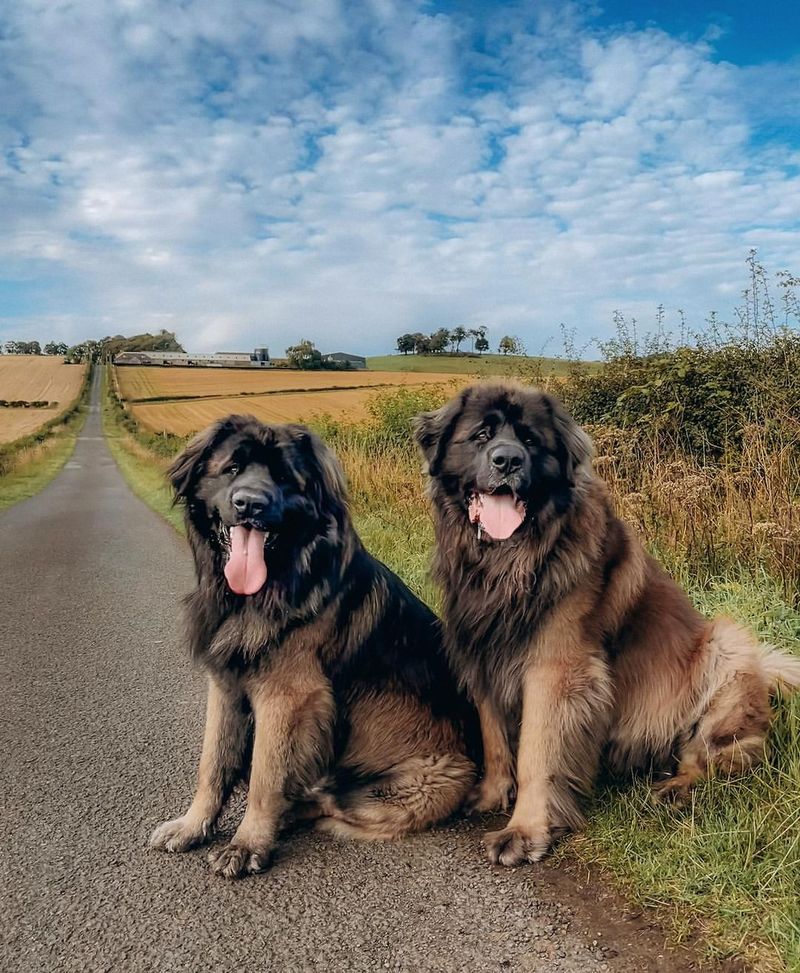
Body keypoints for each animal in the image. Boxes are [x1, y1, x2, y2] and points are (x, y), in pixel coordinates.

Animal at [150, 414, 476, 876]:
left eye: (285, 478)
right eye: (232, 468)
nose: (250, 505)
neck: (262, 594)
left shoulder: (288, 699)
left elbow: (264, 778)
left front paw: (247, 844)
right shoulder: (226, 685)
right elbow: (212, 763)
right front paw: (193, 826)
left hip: (403, 787)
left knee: (323, 802)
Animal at [416, 382, 796, 864]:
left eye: (531, 441)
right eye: (482, 435)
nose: (507, 461)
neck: (508, 562)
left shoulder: (555, 673)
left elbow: (537, 754)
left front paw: (525, 830)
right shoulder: (482, 652)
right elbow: (494, 738)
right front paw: (491, 793)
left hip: (725, 646)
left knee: (716, 758)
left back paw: (674, 789)